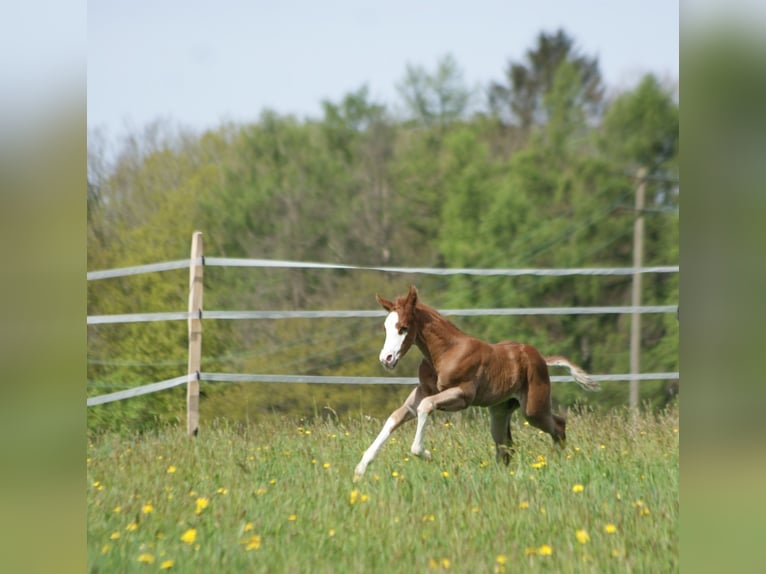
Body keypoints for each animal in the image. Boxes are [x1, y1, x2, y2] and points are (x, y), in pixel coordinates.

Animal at [354, 285, 599, 479]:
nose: (386, 359)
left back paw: (559, 462)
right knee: (506, 447)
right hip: (500, 411)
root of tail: (539, 357)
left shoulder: (462, 396)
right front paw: (361, 467)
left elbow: (426, 407)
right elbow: (395, 417)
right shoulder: (422, 391)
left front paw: (425, 453)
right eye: (385, 328)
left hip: (533, 409)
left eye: (403, 328)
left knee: (558, 425)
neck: (445, 353)